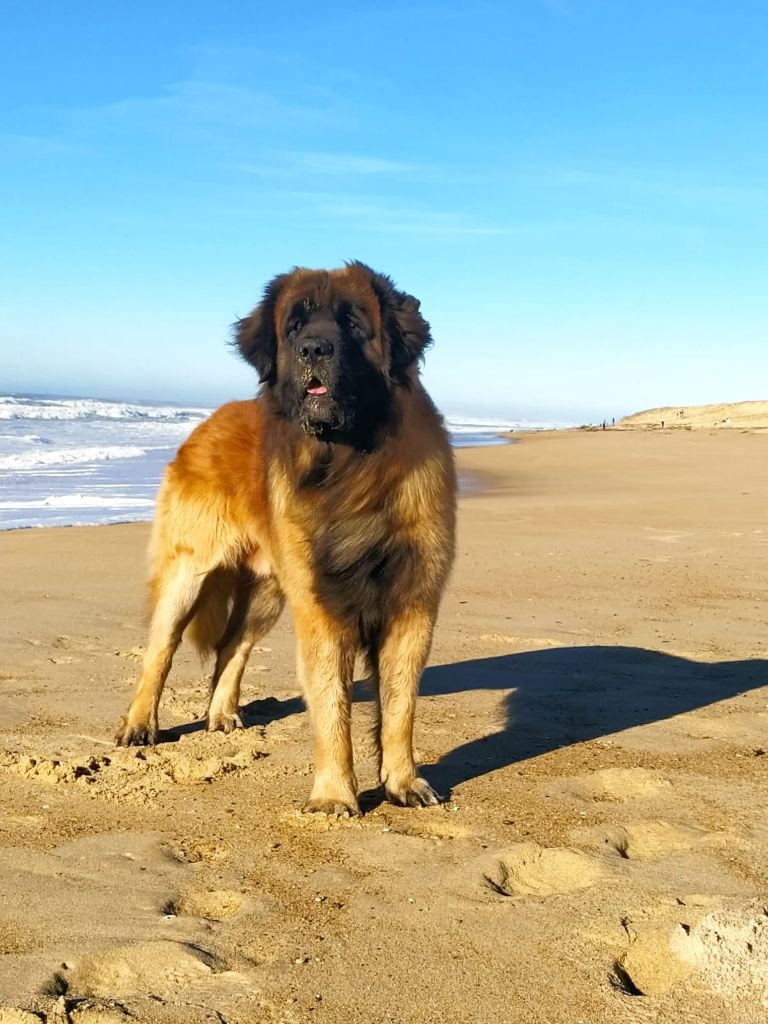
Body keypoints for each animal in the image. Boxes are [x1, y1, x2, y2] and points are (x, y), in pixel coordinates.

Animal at [115, 264, 456, 815]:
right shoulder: (320, 608)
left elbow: (400, 704)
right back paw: (140, 725)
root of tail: (206, 424)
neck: (349, 468)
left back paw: (221, 715)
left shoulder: (413, 603)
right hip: (191, 573)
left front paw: (404, 783)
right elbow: (333, 705)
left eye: (353, 324)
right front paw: (335, 796)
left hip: (268, 593)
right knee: (160, 650)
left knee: (232, 647)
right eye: (294, 328)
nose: (314, 349)